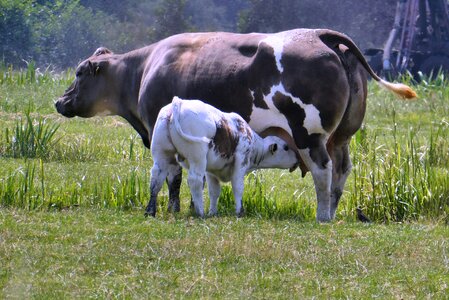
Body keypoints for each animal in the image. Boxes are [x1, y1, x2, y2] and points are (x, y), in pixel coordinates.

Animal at [147, 97, 300, 217]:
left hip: (161, 155)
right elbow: (237, 187)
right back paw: (200, 212)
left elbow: (214, 191)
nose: (297, 160)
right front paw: (239, 211)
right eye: (286, 147)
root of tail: (179, 102)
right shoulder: (241, 161)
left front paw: (213, 212)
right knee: (195, 180)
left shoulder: (211, 170)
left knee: (156, 179)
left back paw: (150, 211)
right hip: (197, 157)